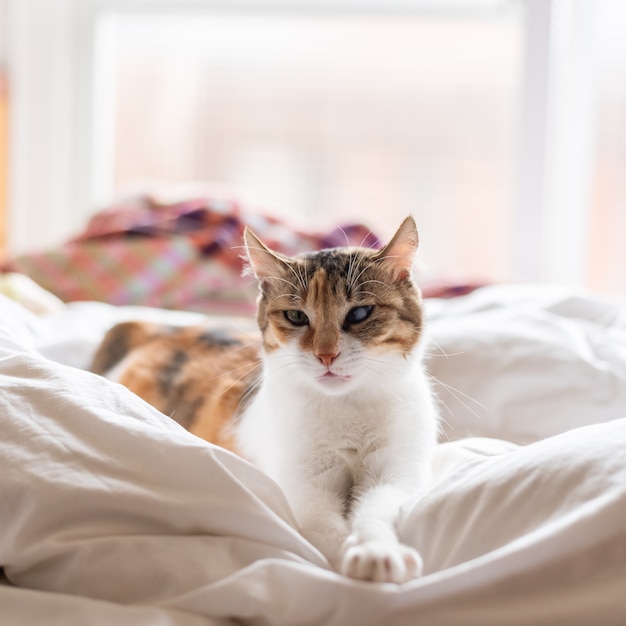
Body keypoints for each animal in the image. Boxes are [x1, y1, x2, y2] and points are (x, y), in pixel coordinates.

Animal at [92, 217, 436, 584]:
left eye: (359, 313)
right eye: (296, 317)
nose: (325, 355)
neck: (346, 408)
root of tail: (164, 329)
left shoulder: (393, 471)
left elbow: (376, 510)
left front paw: (378, 551)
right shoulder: (305, 489)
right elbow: (324, 528)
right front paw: (353, 558)